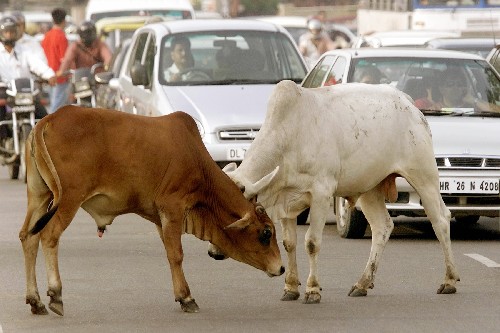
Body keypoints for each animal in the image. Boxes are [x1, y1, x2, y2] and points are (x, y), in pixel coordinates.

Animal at [18, 106, 286, 316]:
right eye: (266, 233)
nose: (281, 268)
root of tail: (47, 120)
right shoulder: (173, 208)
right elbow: (176, 254)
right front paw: (186, 298)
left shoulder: (160, 218)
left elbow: (169, 252)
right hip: (68, 199)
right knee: (49, 236)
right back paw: (55, 295)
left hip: (39, 196)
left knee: (28, 237)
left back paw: (35, 300)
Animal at [217, 80, 458, 300]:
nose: (214, 252)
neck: (289, 137)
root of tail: (408, 103)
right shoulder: (286, 200)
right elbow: (289, 243)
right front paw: (291, 287)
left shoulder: (321, 194)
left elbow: (312, 243)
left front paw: (312, 289)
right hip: (370, 188)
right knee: (382, 227)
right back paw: (362, 283)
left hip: (424, 177)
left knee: (440, 220)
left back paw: (449, 280)